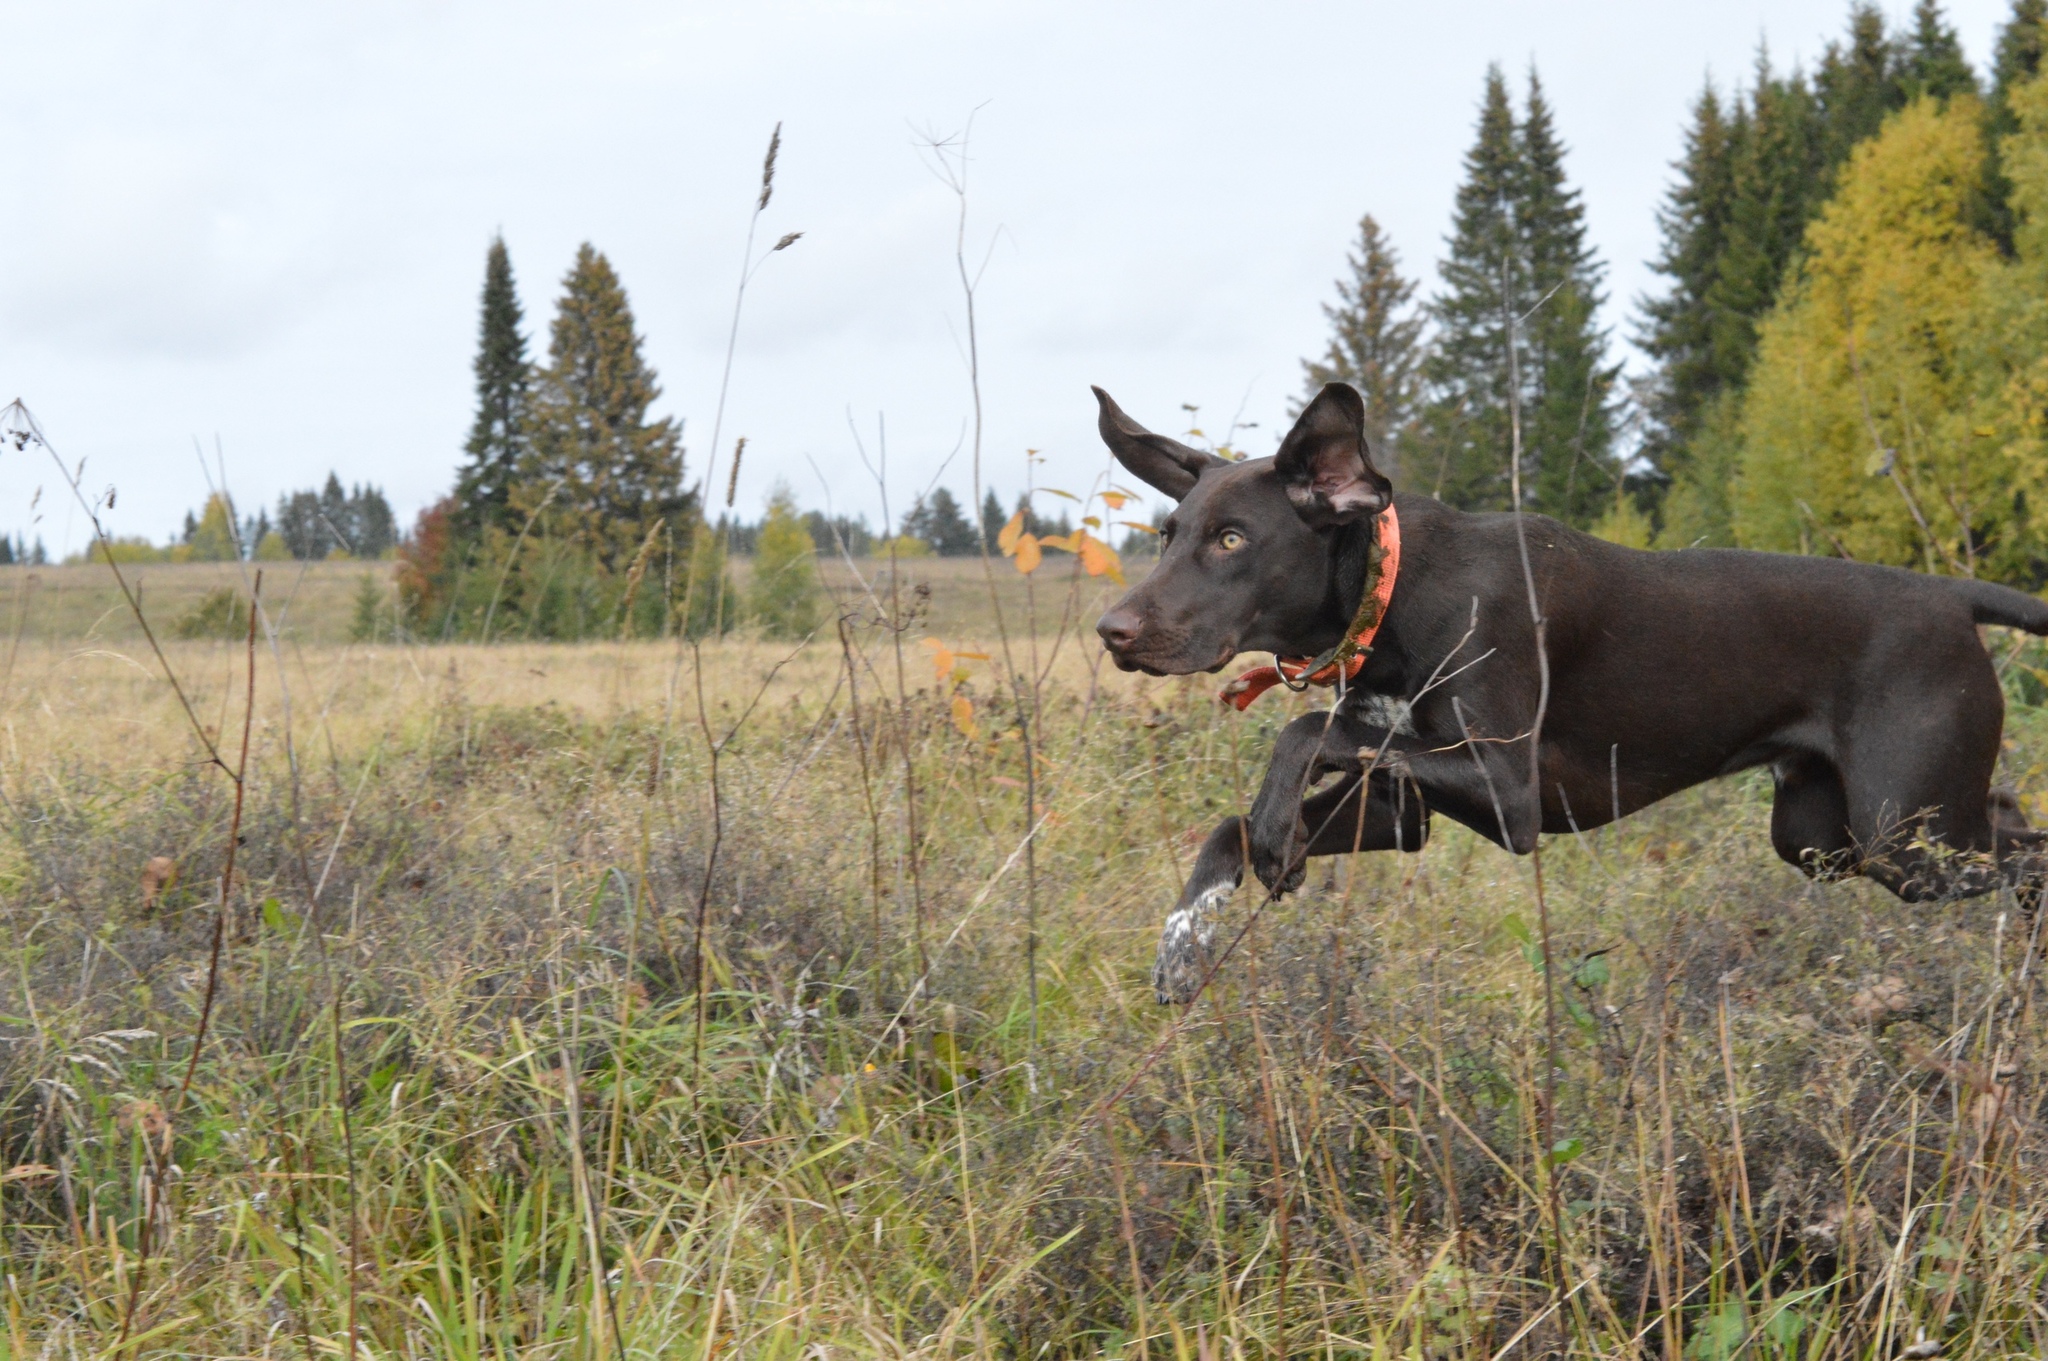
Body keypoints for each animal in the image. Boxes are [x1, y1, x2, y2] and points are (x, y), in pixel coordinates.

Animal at [1097, 378, 2048, 998]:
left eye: (1231, 539)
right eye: (1170, 533)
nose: (1113, 630)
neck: (1397, 587)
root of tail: (1952, 595)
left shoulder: (1509, 789)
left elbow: (1302, 737)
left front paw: (1273, 822)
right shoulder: (1402, 808)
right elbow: (1236, 822)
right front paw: (1186, 938)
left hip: (1901, 833)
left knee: (2025, 850)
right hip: (1827, 834)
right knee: (2007, 816)